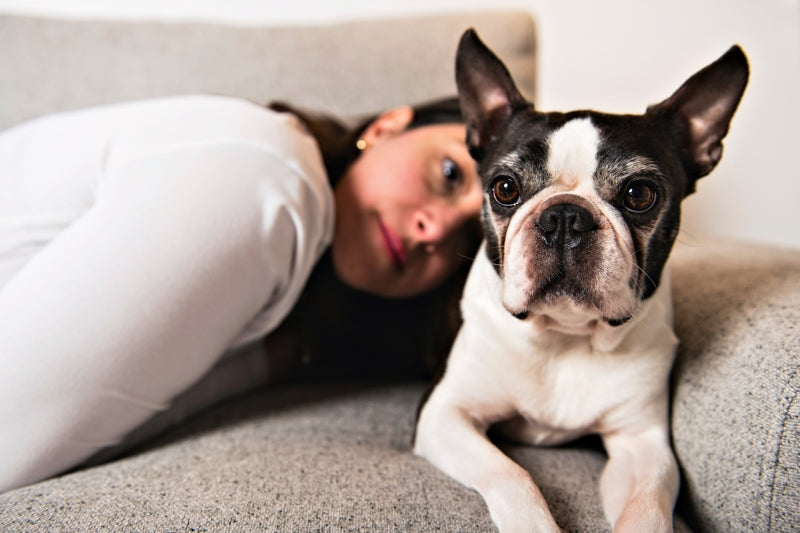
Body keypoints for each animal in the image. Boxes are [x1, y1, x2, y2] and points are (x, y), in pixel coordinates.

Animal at [416, 30, 748, 532]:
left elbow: (649, 506)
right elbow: (511, 474)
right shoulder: (445, 413)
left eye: (639, 194)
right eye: (505, 188)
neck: (565, 336)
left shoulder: (643, 445)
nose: (564, 216)